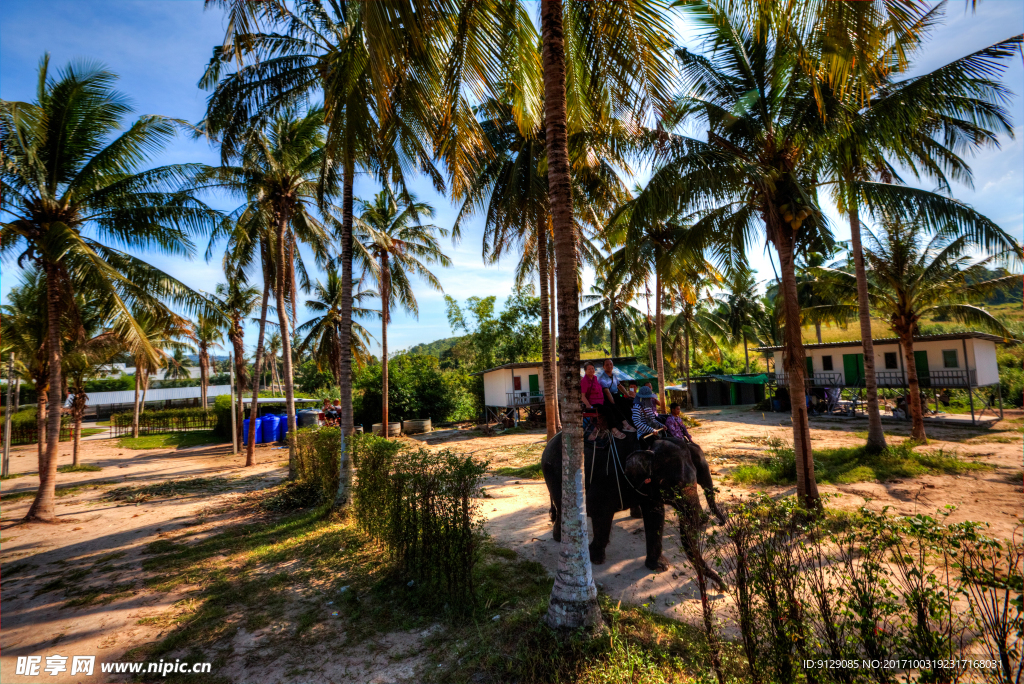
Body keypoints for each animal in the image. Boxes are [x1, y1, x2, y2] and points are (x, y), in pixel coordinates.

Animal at [544, 432, 729, 589]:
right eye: (672, 485)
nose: (721, 587)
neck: (647, 445)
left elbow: (655, 515)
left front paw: (659, 567)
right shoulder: (608, 477)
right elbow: (598, 508)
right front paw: (595, 559)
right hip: (555, 472)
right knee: (562, 505)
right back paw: (560, 538)